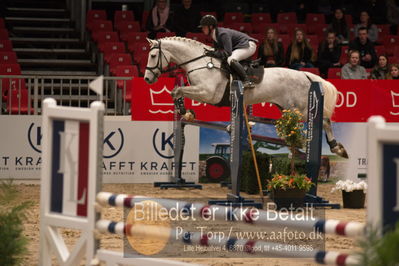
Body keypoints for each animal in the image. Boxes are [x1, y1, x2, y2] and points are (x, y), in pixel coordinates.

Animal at [145, 37, 348, 158]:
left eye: (153, 55)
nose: (147, 79)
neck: (200, 63)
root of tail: (306, 75)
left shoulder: (207, 93)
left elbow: (178, 91)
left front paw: (185, 112)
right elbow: (176, 91)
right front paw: (186, 112)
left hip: (302, 109)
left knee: (325, 121)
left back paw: (337, 148)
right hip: (288, 109)